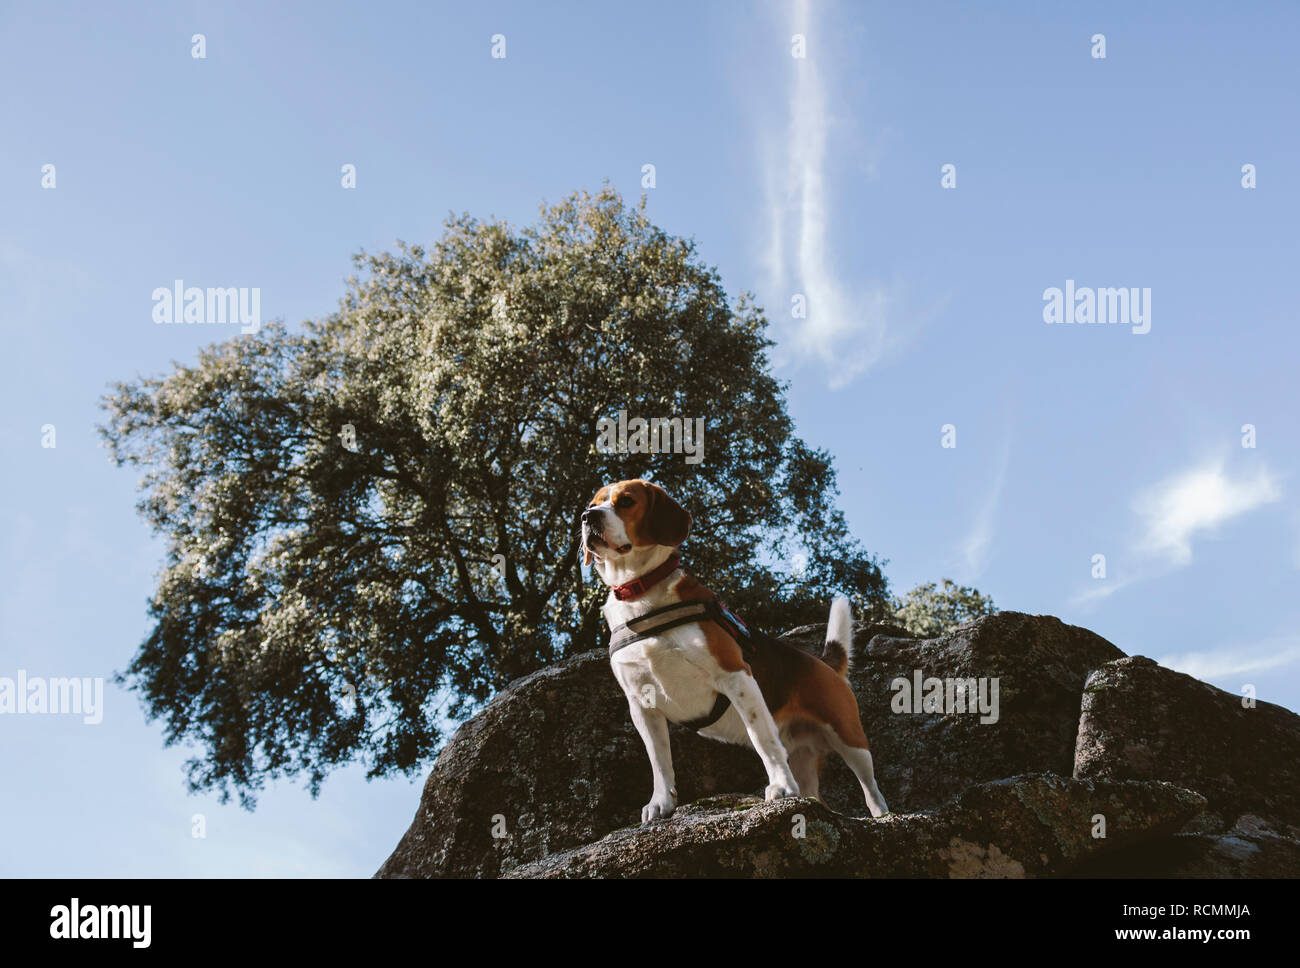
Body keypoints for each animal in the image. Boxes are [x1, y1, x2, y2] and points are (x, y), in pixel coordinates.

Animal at [585, 480, 889, 821]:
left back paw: (882, 816)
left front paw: (781, 787)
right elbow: (659, 759)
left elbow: (762, 738)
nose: (587, 517)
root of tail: (822, 662)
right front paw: (661, 802)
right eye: (593, 504)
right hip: (808, 758)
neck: (641, 594)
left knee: (871, 788)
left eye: (626, 501)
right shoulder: (641, 703)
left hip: (849, 737)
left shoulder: (735, 675)